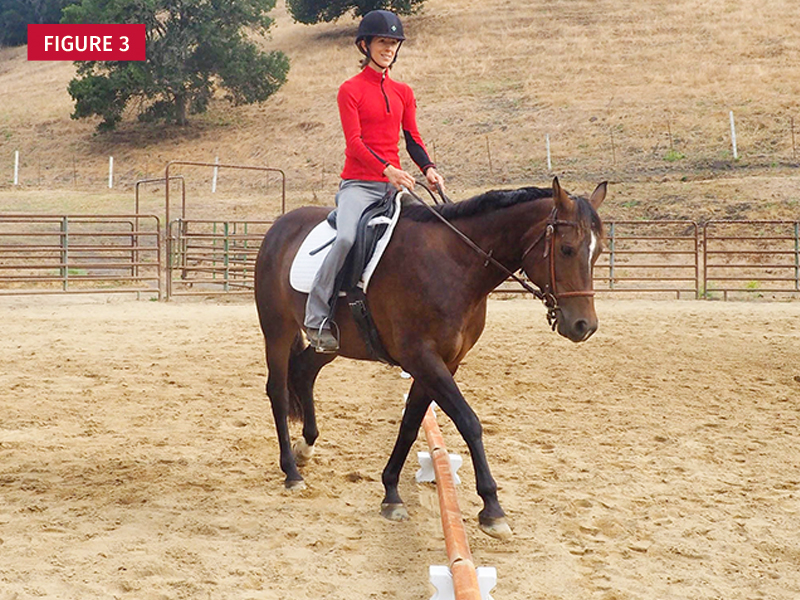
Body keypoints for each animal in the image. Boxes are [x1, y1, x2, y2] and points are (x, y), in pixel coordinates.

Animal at [254, 177, 606, 540]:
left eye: (598, 252)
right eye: (567, 249)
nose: (584, 326)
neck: (454, 263)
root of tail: (279, 226)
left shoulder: (443, 362)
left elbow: (411, 423)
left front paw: (391, 492)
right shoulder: (422, 358)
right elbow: (468, 421)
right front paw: (492, 509)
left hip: (334, 344)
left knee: (304, 371)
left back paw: (306, 447)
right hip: (277, 330)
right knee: (278, 392)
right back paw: (291, 471)